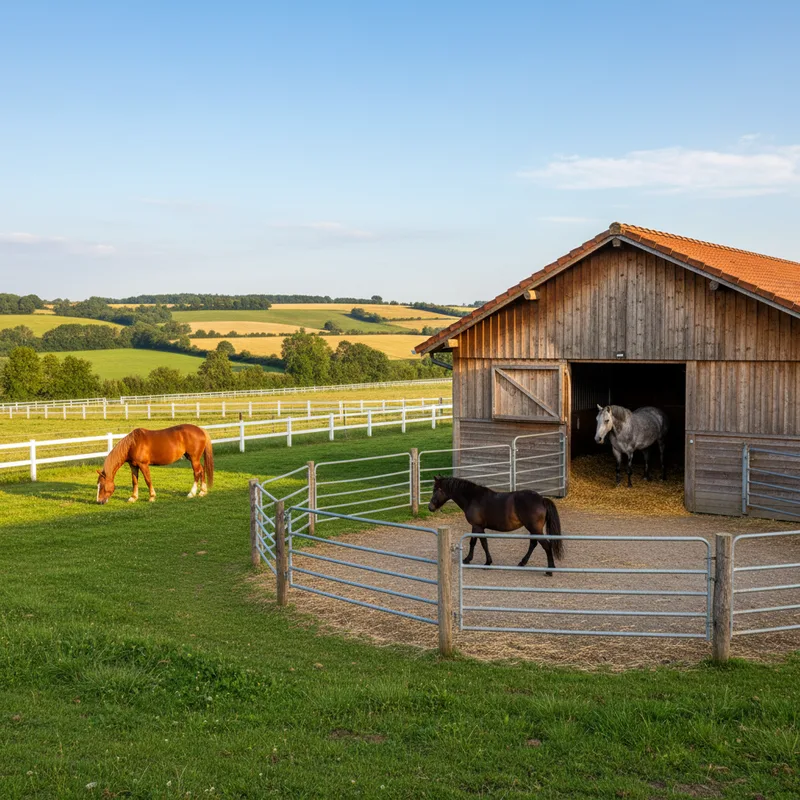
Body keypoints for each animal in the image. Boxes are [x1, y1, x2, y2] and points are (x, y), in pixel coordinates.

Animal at [427, 476, 564, 574]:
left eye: (436, 490)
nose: (430, 507)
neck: (473, 498)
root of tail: (542, 499)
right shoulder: (476, 526)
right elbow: (474, 542)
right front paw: (469, 559)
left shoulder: (478, 526)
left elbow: (482, 543)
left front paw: (487, 562)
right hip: (533, 529)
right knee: (533, 544)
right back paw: (523, 562)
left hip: (535, 529)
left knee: (546, 546)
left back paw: (549, 569)